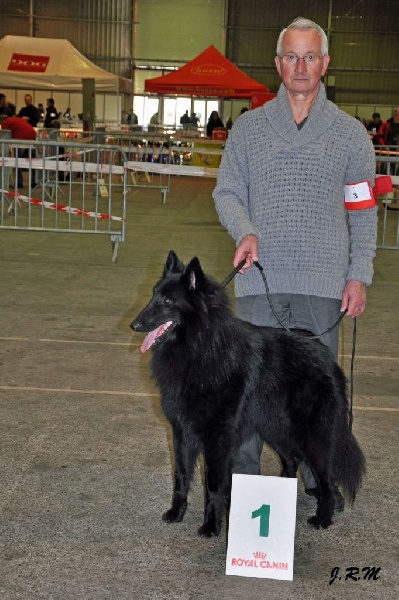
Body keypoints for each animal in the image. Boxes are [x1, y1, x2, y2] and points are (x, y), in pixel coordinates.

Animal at [131, 253, 366, 540]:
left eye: (167, 301)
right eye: (153, 295)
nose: (135, 324)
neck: (201, 348)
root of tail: (327, 358)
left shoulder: (218, 437)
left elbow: (213, 484)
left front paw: (211, 525)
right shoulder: (181, 431)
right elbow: (181, 476)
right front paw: (176, 513)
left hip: (312, 435)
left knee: (326, 478)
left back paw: (322, 518)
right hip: (276, 428)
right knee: (292, 460)